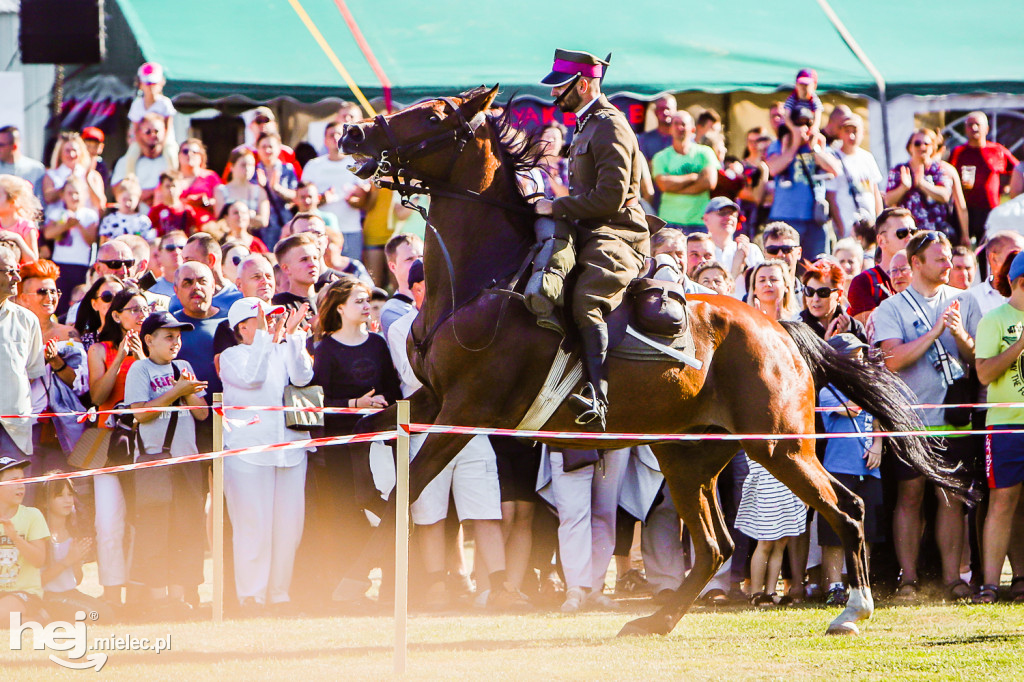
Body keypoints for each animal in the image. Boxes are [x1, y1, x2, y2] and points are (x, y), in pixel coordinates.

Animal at [337, 86, 974, 638]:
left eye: (432, 113)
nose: (352, 132)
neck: (484, 279)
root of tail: (783, 331)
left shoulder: (467, 411)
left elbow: (403, 494)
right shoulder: (429, 399)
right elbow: (381, 458)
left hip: (779, 446)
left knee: (846, 508)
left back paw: (852, 610)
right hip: (689, 455)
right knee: (718, 546)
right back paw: (659, 619)